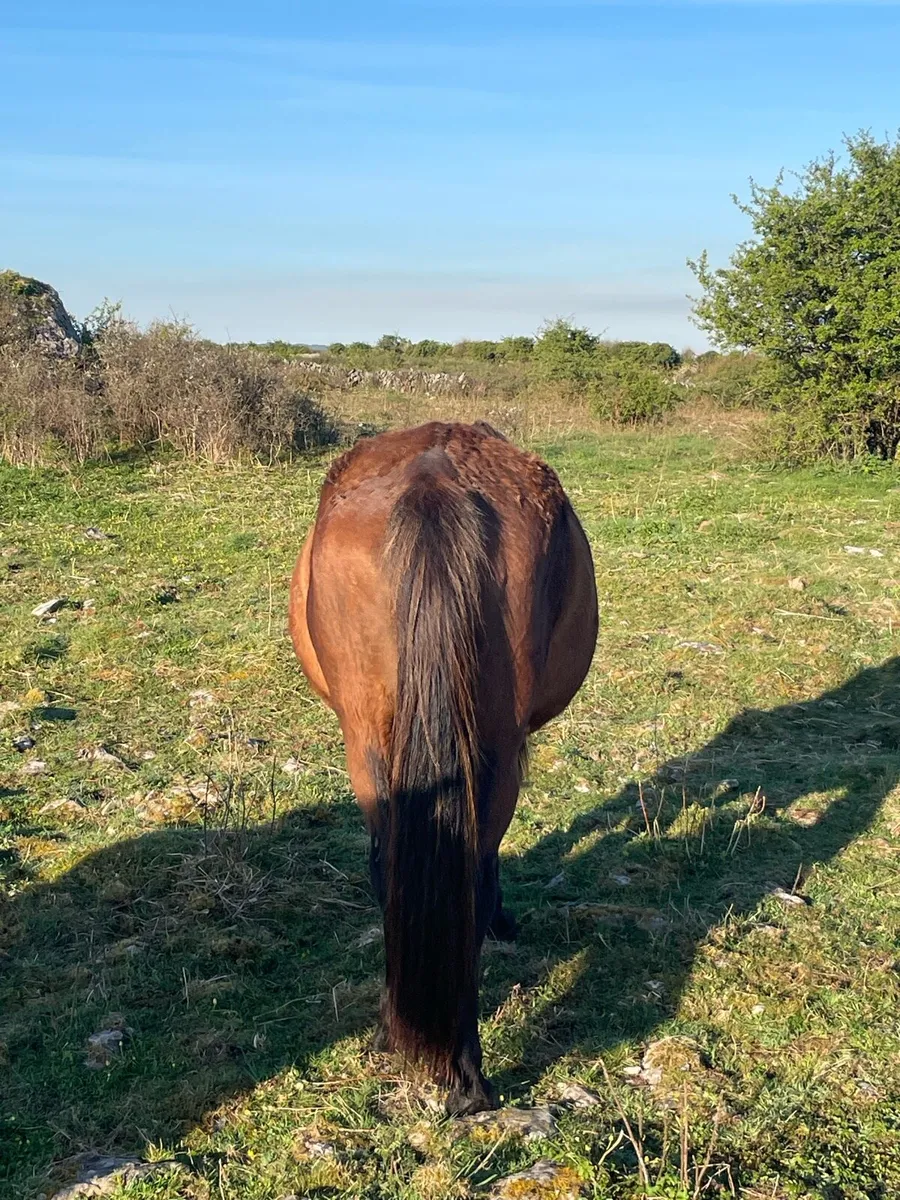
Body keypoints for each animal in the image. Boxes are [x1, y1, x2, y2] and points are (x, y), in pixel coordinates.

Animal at [289, 421, 597, 1115]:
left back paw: (395, 1033)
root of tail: (434, 481)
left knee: (390, 871)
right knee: (470, 876)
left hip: (369, 747)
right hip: (492, 749)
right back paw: (466, 1075)